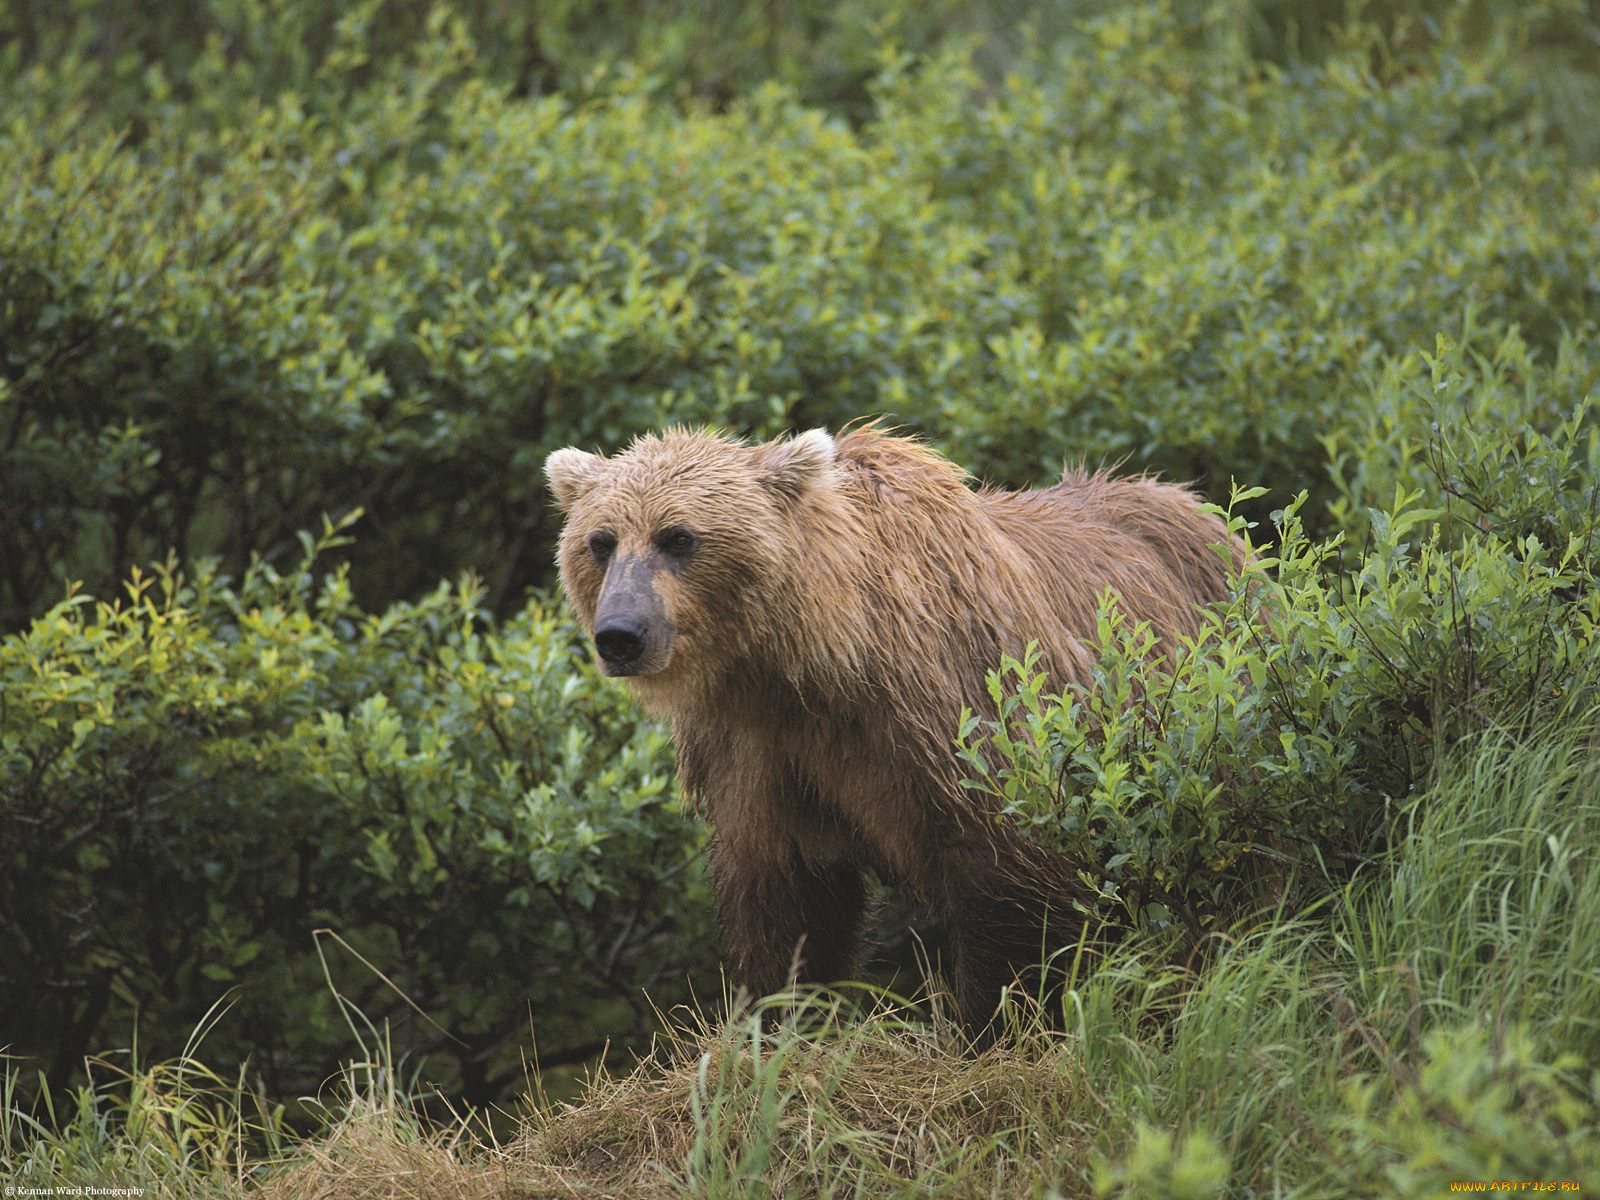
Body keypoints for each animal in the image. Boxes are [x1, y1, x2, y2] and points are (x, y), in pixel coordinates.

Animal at [544, 425, 1241, 1037]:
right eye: (600, 541)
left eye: (678, 536)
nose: (620, 635)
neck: (820, 665)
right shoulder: (760, 753)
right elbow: (788, 902)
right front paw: (779, 1025)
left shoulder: (956, 719)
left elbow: (1011, 879)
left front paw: (995, 1025)